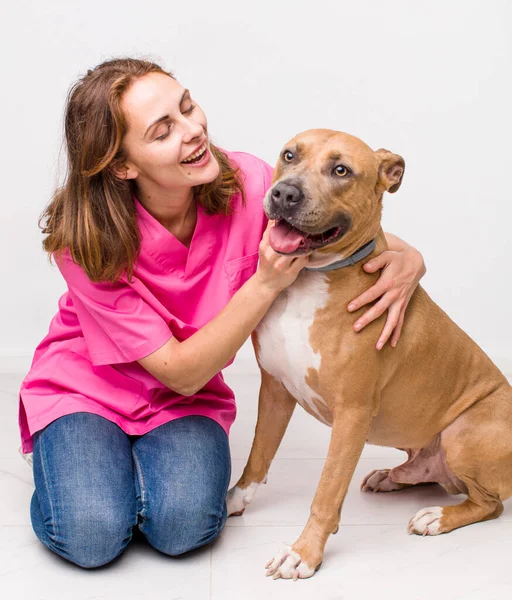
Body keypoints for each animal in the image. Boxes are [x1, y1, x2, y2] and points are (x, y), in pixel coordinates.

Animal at [227, 129, 512, 580]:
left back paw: (437, 517)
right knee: (432, 473)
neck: (311, 279)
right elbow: (259, 454)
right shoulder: (275, 389)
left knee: (490, 503)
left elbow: (327, 490)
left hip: (465, 432)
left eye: (341, 170)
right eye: (289, 155)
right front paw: (236, 499)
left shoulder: (352, 414)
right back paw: (393, 476)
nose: (284, 193)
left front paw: (303, 553)